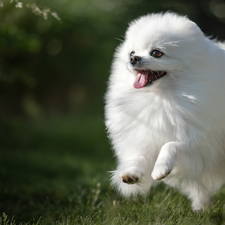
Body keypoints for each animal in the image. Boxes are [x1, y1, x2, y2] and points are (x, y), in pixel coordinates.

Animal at [104, 11, 225, 210]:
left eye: (156, 53)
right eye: (132, 52)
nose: (133, 59)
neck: (163, 98)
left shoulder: (200, 141)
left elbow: (170, 145)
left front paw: (160, 168)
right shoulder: (150, 134)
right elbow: (141, 155)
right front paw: (132, 173)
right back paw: (201, 207)